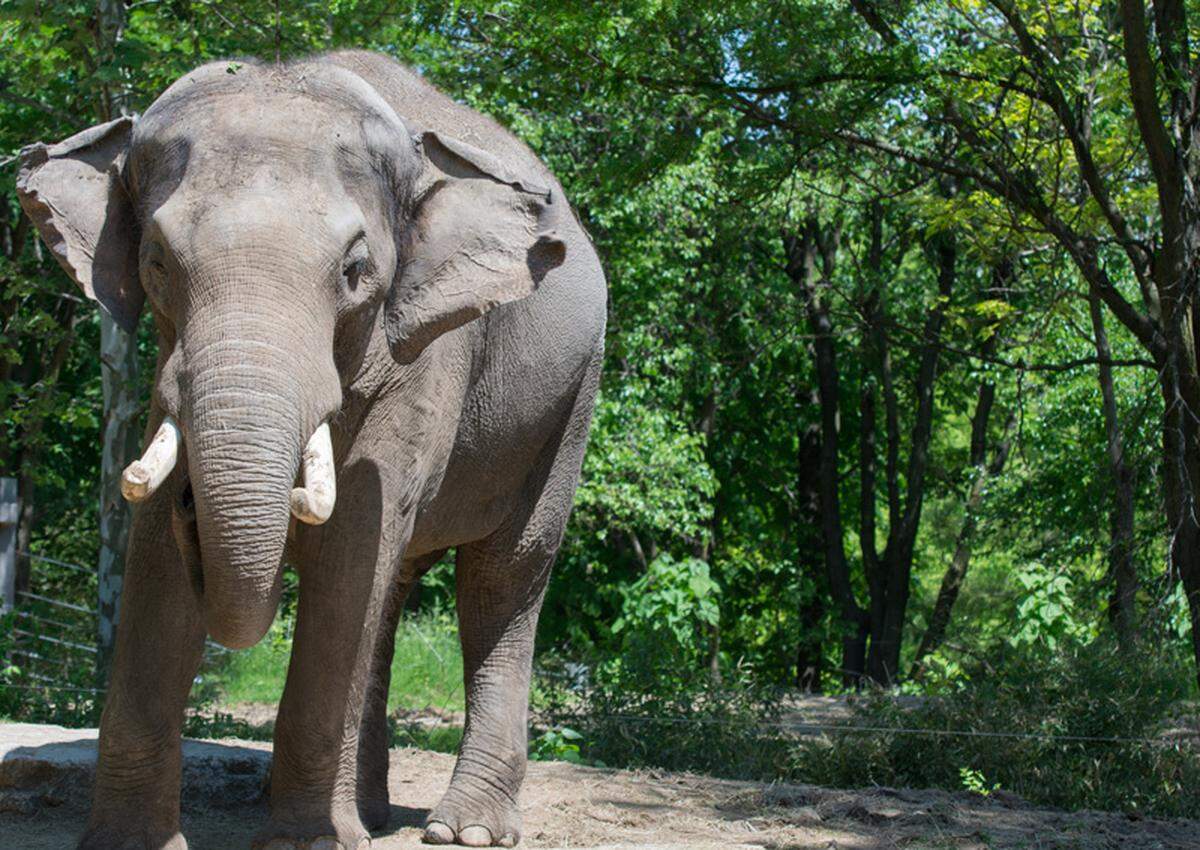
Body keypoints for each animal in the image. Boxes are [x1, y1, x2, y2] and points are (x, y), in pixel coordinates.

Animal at [16, 50, 606, 849]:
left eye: (356, 272)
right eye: (157, 262)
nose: (196, 506)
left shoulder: (425, 352)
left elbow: (356, 531)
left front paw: (304, 842)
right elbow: (157, 558)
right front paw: (129, 842)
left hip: (571, 400)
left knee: (502, 577)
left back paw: (464, 831)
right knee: (393, 591)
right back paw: (371, 815)